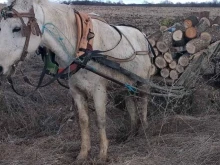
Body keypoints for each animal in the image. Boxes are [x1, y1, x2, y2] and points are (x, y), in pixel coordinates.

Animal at [0, 0, 152, 160]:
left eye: (17, 28)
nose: (0, 67)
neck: (81, 47)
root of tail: (142, 35)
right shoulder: (76, 91)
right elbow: (84, 121)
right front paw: (83, 153)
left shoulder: (99, 90)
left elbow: (100, 120)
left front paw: (102, 153)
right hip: (126, 86)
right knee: (131, 105)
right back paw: (132, 134)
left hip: (143, 83)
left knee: (143, 103)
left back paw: (144, 130)